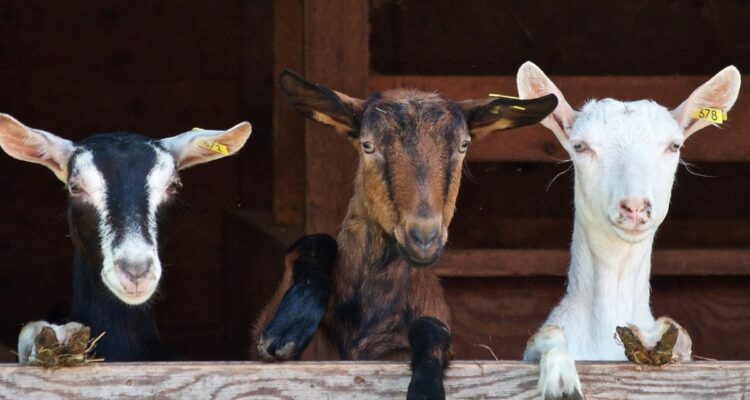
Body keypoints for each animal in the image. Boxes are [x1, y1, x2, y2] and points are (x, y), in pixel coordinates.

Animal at [256, 70, 560, 398]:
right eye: (368, 145)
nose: (424, 238)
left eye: (463, 145)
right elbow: (313, 242)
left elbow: (432, 328)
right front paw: (288, 328)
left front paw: (426, 387)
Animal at [516, 61, 740, 396]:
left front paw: (653, 335)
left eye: (674, 145)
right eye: (580, 146)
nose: (634, 207)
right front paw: (561, 381)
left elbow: (680, 336)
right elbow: (547, 334)